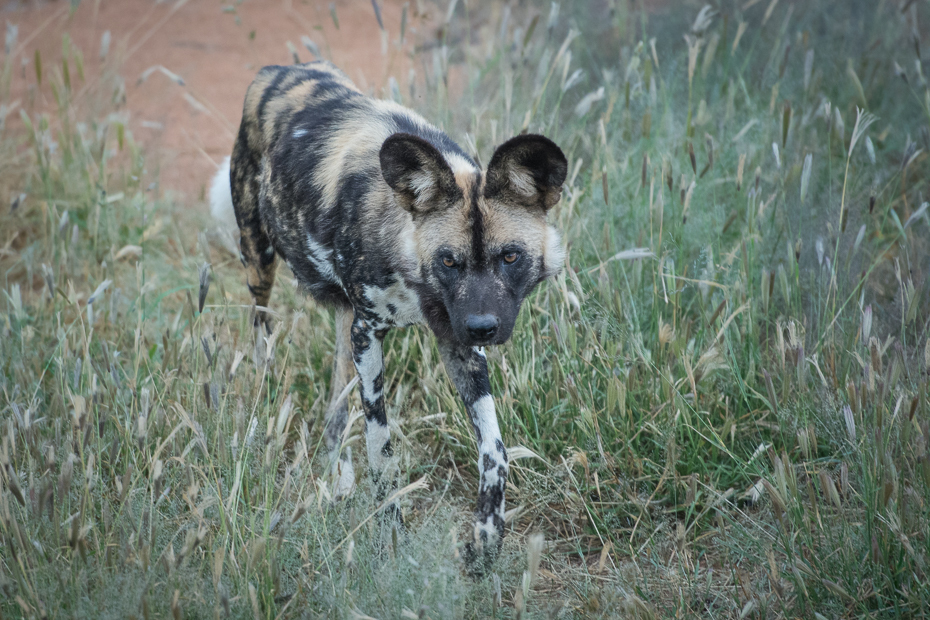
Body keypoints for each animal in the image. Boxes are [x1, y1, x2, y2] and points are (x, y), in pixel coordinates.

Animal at [211, 60, 568, 568]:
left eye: (510, 257)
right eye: (449, 261)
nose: (484, 328)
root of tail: (278, 68)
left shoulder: (456, 342)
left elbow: (495, 450)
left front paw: (486, 537)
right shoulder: (370, 335)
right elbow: (381, 446)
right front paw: (391, 532)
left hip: (345, 325)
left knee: (336, 408)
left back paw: (335, 477)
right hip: (259, 262)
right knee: (262, 336)